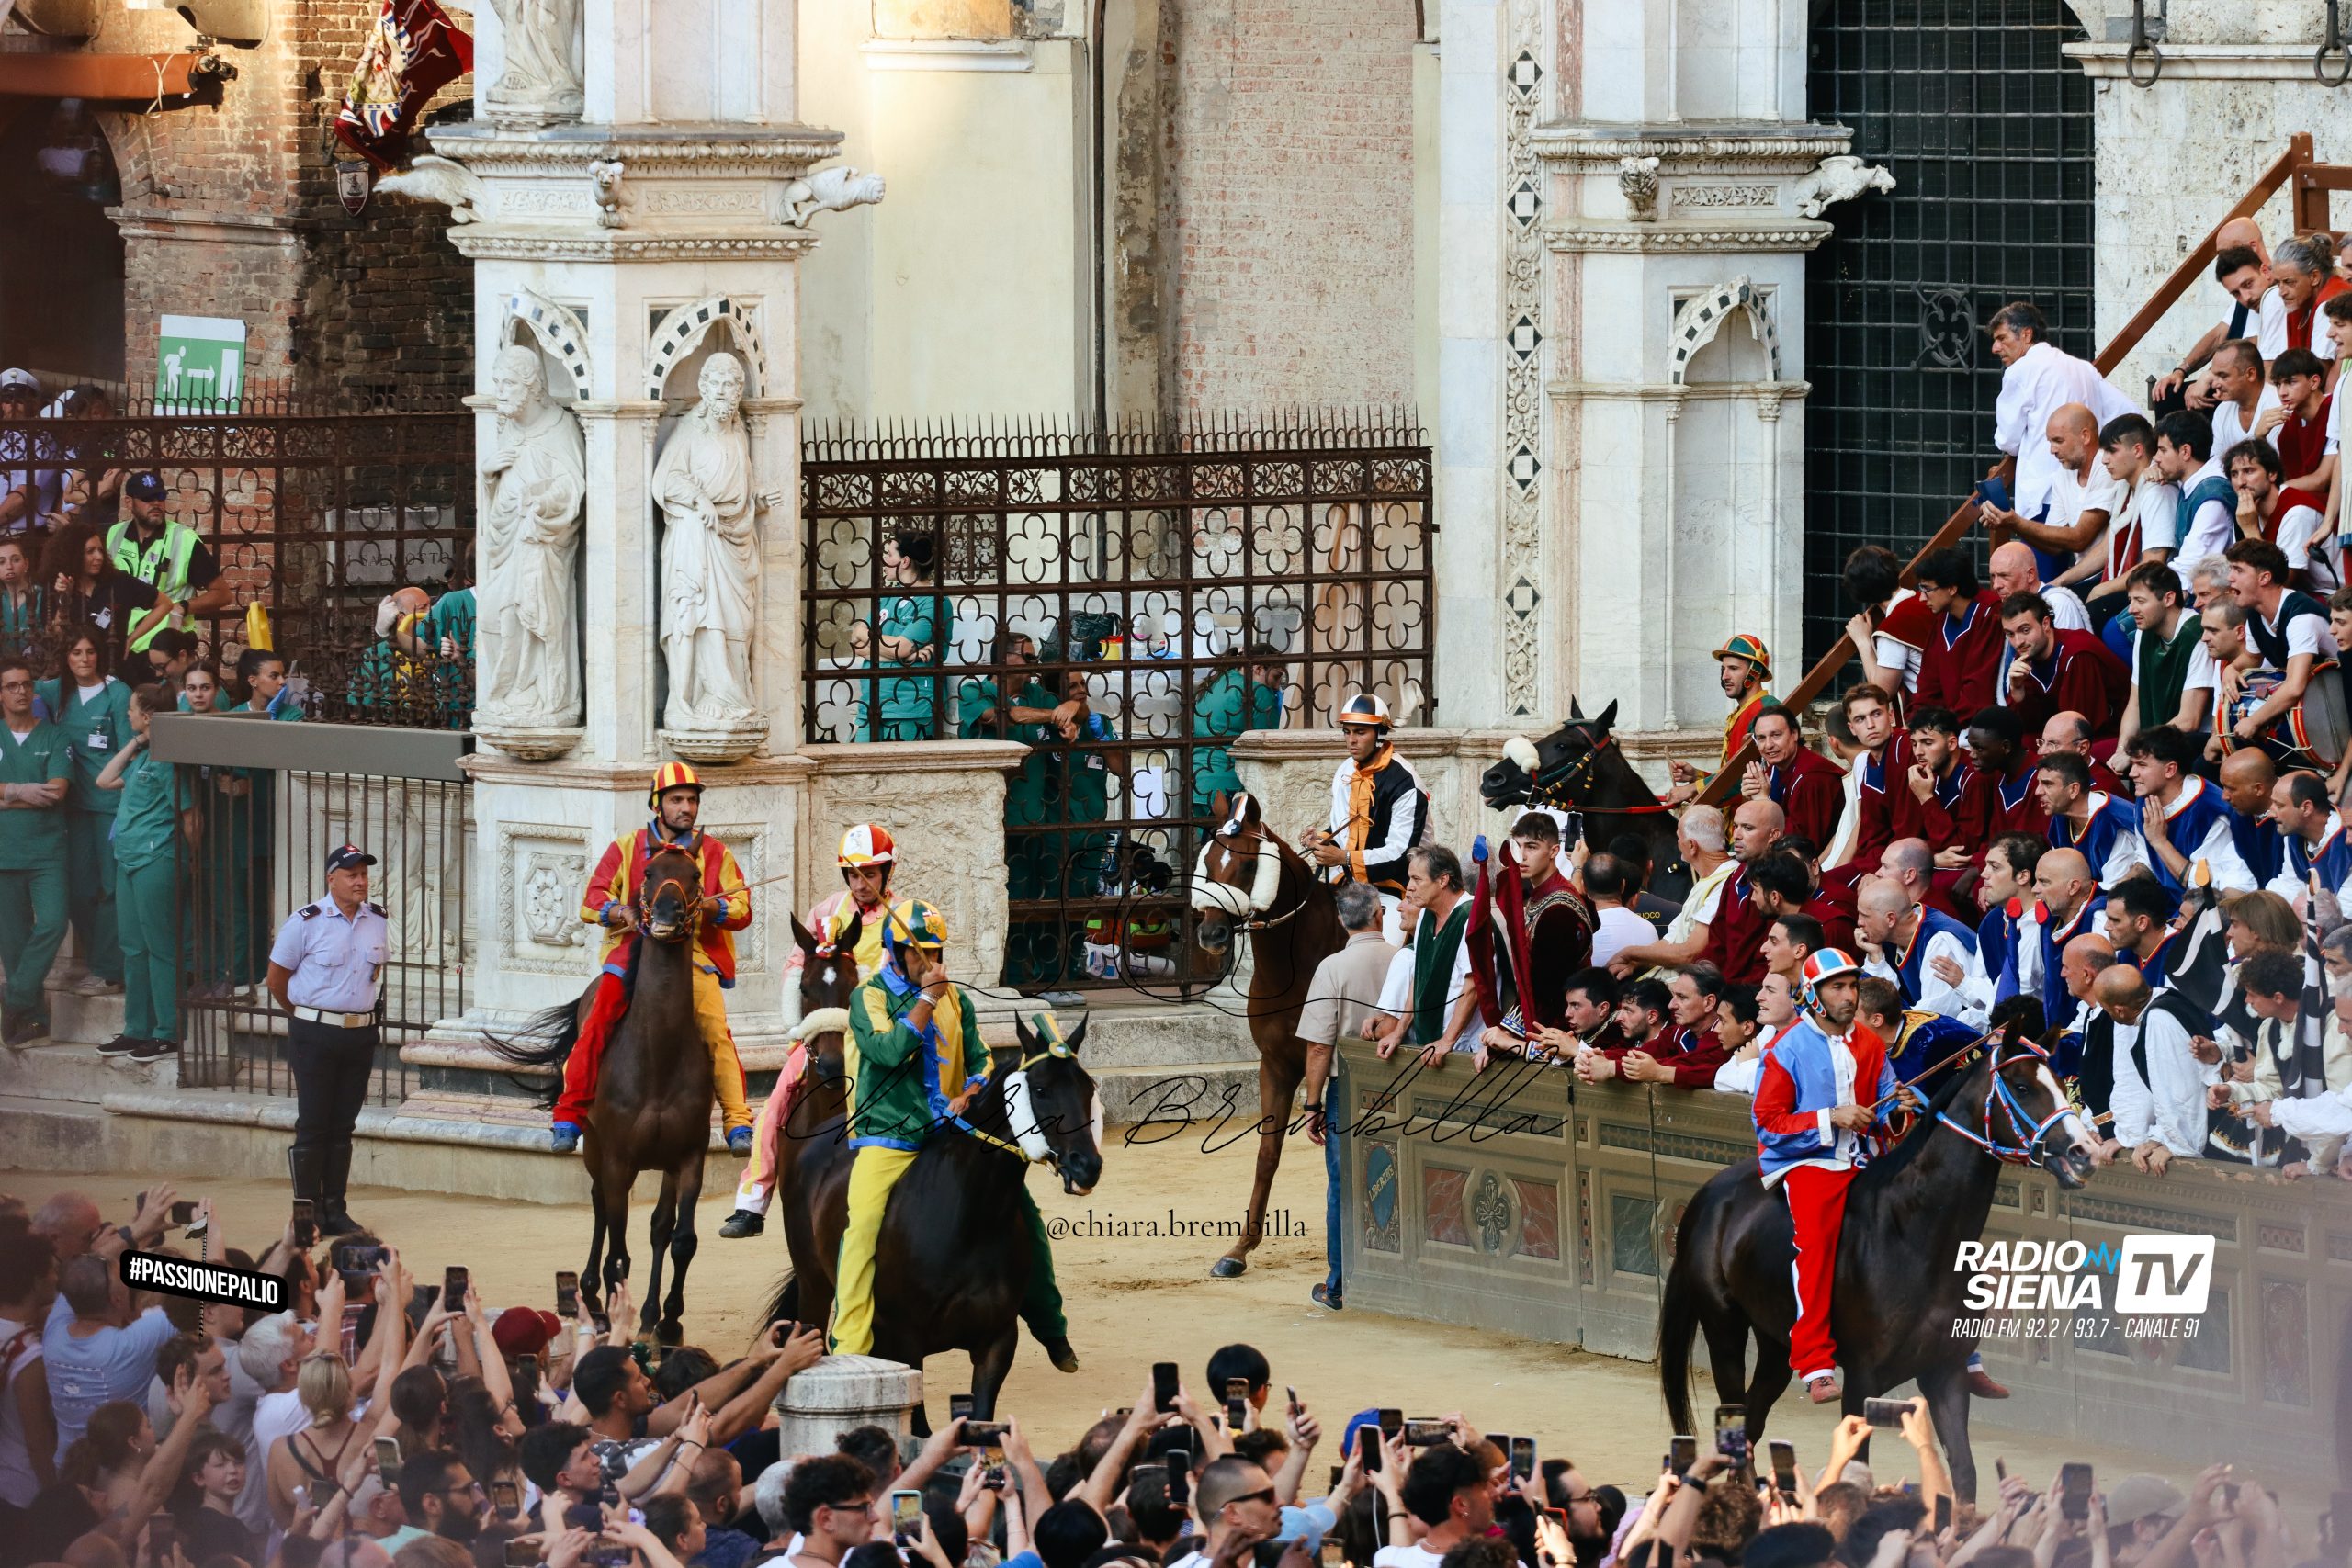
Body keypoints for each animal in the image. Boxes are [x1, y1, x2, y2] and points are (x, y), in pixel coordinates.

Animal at [489, 844, 715, 1343]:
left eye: (694, 875)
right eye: (648, 873)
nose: (667, 914)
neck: (658, 1058)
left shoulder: (688, 1155)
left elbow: (680, 1238)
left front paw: (666, 1319)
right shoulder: (618, 1157)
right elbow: (619, 1249)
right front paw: (618, 1311)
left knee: (658, 1227)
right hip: (595, 1144)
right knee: (598, 1207)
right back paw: (593, 1293)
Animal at [764, 991, 1103, 1419]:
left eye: (1087, 1087)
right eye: (1040, 1090)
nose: (1087, 1165)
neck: (968, 1219)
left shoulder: (997, 1341)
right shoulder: (904, 1341)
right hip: (814, 1284)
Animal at [1189, 790, 1347, 1279]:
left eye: (1247, 865)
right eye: (1208, 861)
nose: (1212, 933)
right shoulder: (1276, 1064)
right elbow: (1267, 1155)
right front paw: (1241, 1247)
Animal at [1659, 1029, 2100, 1503]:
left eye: (2060, 1081)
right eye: (2021, 1086)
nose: (2084, 1152)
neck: (1914, 1234)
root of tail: (1709, 1194)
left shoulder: (1945, 1371)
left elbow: (1964, 1474)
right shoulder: (1862, 1380)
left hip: (1776, 1343)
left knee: (1754, 1420)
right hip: (1724, 1328)